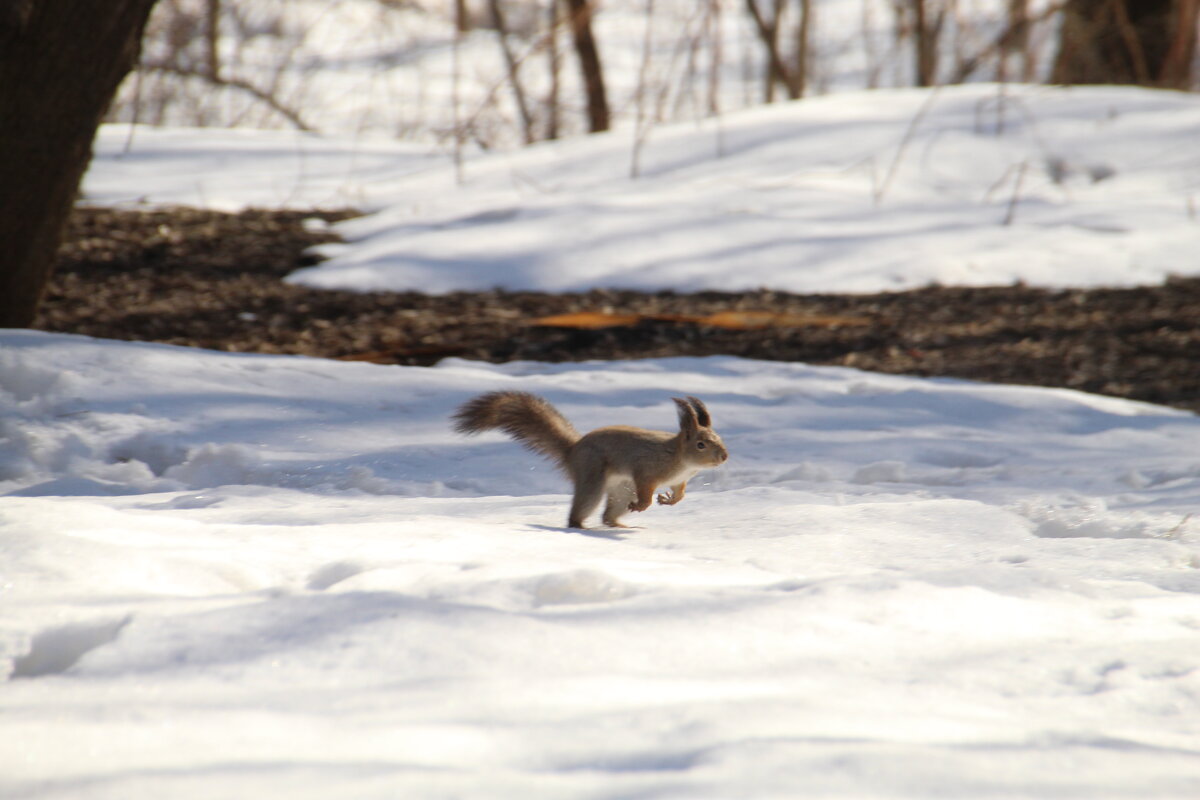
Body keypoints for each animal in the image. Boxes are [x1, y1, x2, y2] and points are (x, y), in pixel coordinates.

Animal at [451, 391, 724, 527]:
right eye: (700, 444)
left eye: (719, 437)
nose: (724, 456)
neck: (679, 458)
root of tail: (573, 450)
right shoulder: (645, 469)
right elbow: (645, 489)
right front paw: (644, 504)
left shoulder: (679, 480)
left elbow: (680, 494)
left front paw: (670, 500)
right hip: (593, 477)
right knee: (581, 511)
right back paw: (582, 526)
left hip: (621, 489)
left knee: (608, 516)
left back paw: (622, 526)